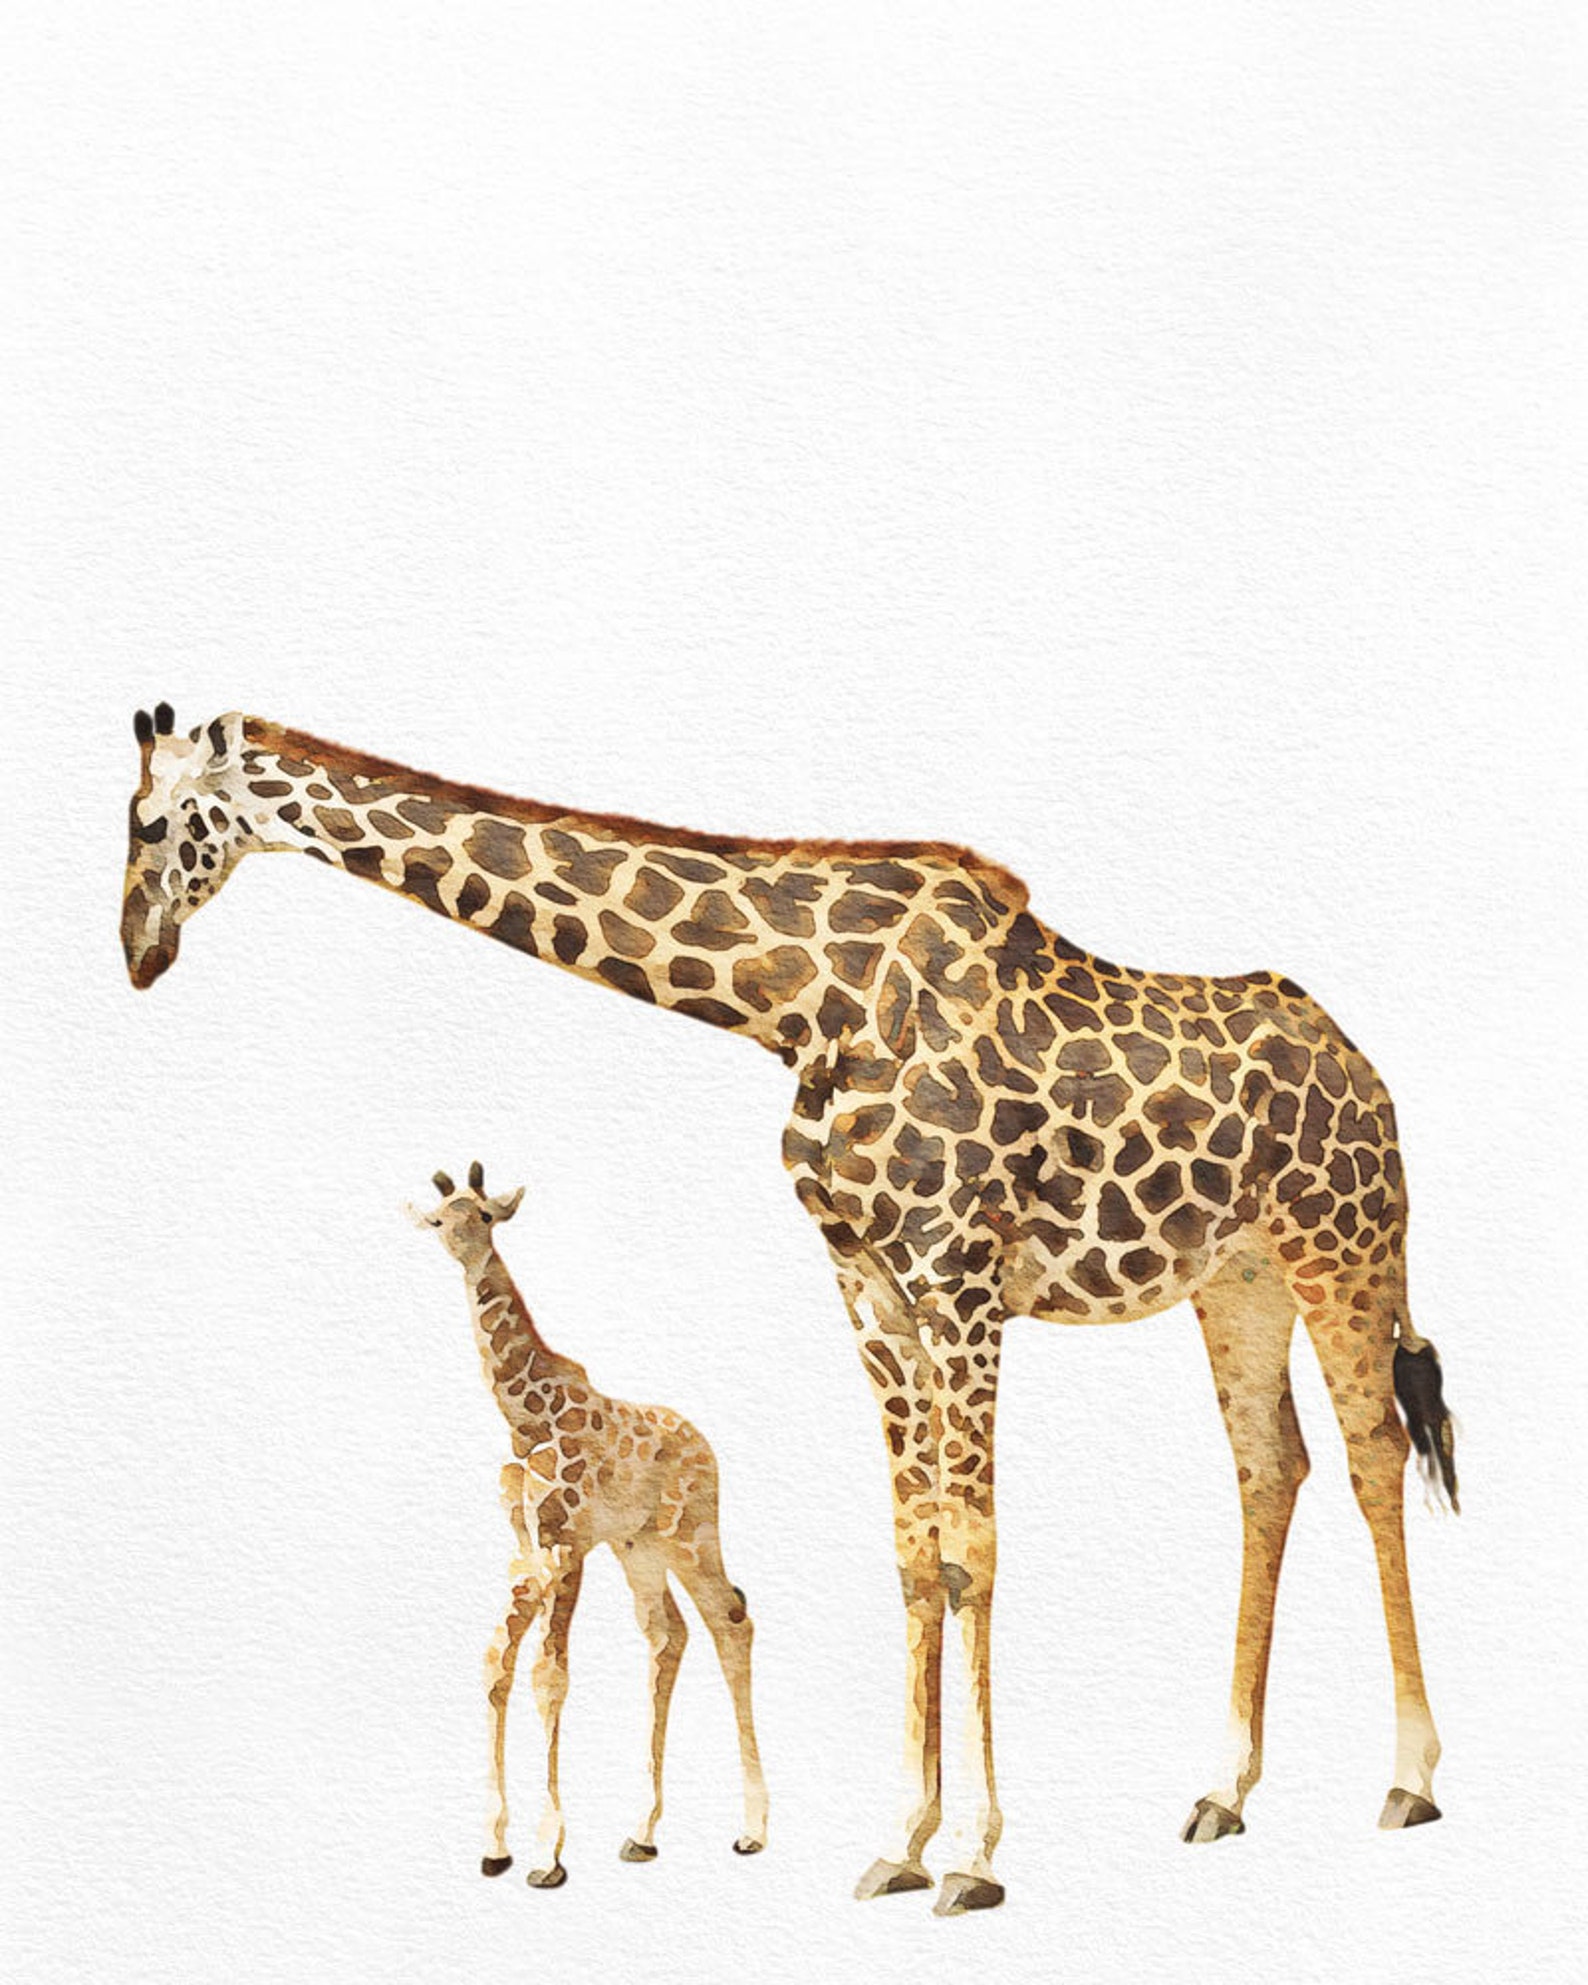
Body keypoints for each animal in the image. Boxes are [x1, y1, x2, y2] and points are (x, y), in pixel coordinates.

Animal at [408, 1160, 767, 1886]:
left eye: (483, 1215)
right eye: (437, 1219)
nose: (463, 1251)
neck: (525, 1419)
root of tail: (705, 1442)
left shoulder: (566, 1545)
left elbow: (550, 1678)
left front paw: (548, 1855)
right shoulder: (527, 1551)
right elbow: (496, 1663)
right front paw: (496, 1845)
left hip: (692, 1533)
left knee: (731, 1622)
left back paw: (751, 1831)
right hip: (640, 1547)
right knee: (668, 1635)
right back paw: (643, 1832)